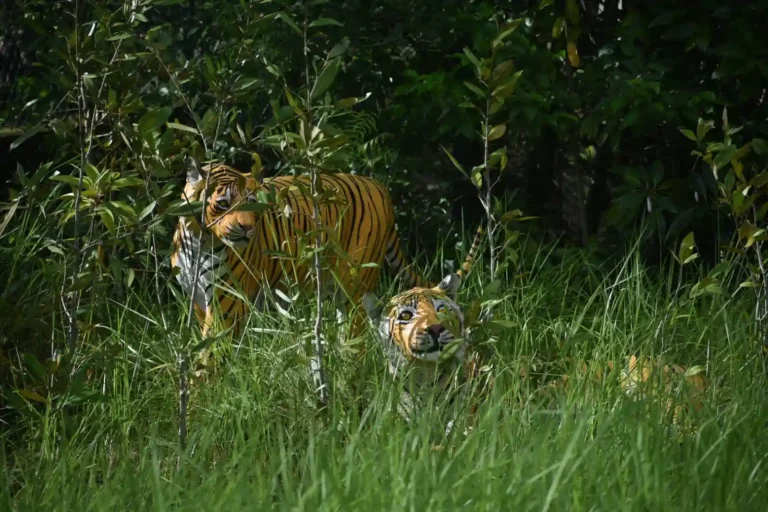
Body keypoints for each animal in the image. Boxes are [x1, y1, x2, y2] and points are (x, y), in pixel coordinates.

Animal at [171, 162, 446, 374]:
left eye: (252, 203)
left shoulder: (226, 303)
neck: (198, 240)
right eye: (223, 203)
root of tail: (378, 186)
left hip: (354, 287)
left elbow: (209, 354)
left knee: (354, 335)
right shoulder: (199, 300)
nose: (247, 228)